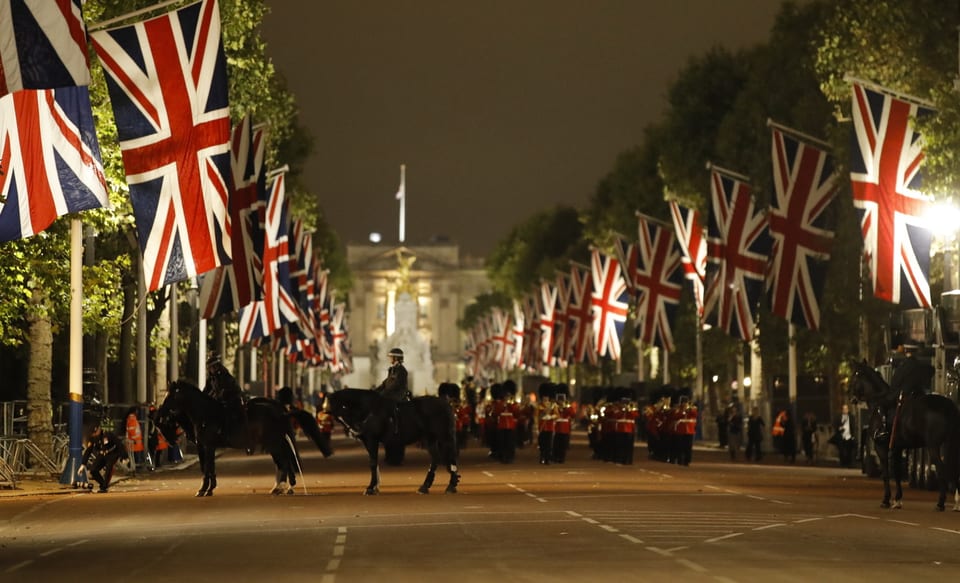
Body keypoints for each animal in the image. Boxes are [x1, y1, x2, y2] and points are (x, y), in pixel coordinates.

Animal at [154, 380, 326, 500]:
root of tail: (281, 411)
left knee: (285, 461)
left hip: (274, 442)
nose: (158, 414)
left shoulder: (207, 446)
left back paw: (284, 487)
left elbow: (207, 468)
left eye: (171, 395)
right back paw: (284, 487)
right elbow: (208, 468)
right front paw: (209, 488)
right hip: (276, 443)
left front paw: (204, 490)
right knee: (285, 460)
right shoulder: (204, 447)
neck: (204, 414)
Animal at [326, 390, 462, 496]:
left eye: (344, 407)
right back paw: (425, 487)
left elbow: (373, 463)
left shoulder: (372, 440)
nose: (356, 429)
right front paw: (375, 487)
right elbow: (374, 463)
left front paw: (370, 488)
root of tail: (446, 404)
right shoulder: (369, 442)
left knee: (450, 458)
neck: (370, 410)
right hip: (430, 439)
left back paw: (450, 485)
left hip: (444, 438)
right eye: (337, 413)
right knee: (435, 459)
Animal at [852, 360, 956, 512]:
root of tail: (948, 405)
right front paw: (897, 499)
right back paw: (955, 503)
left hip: (933, 446)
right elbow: (897, 473)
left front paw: (886, 500)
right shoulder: (897, 448)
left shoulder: (881, 447)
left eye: (855, 374)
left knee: (943, 469)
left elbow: (886, 474)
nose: (852, 397)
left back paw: (940, 503)